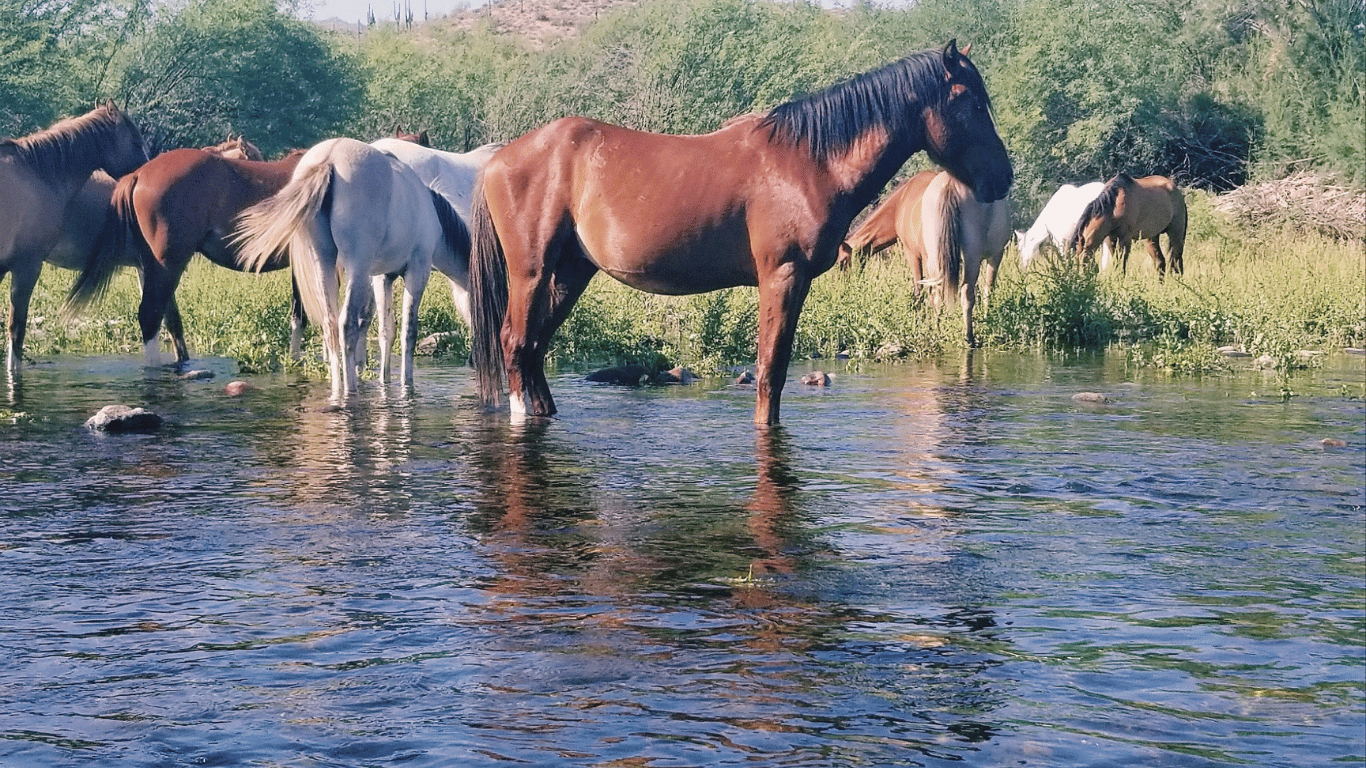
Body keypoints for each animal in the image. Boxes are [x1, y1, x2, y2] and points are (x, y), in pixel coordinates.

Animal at [234, 137, 468, 400]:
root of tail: (329, 157)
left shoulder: (383, 277)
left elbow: (386, 331)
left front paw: (385, 380)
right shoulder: (417, 270)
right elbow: (408, 331)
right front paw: (406, 385)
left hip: (324, 263)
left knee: (330, 325)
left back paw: (337, 388)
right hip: (356, 267)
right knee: (346, 324)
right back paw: (350, 388)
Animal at [469, 41, 1012, 425]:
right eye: (970, 104)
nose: (1003, 177)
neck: (808, 162)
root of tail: (499, 158)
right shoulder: (782, 276)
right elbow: (770, 373)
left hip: (570, 273)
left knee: (534, 349)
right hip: (531, 272)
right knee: (515, 344)